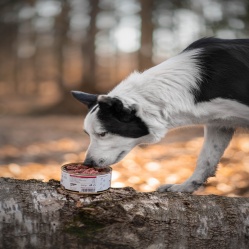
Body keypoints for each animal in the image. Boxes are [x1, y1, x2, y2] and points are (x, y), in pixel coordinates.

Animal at [71, 37, 249, 193]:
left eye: (102, 134)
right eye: (88, 134)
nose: (88, 164)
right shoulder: (219, 124)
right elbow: (205, 160)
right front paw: (184, 188)